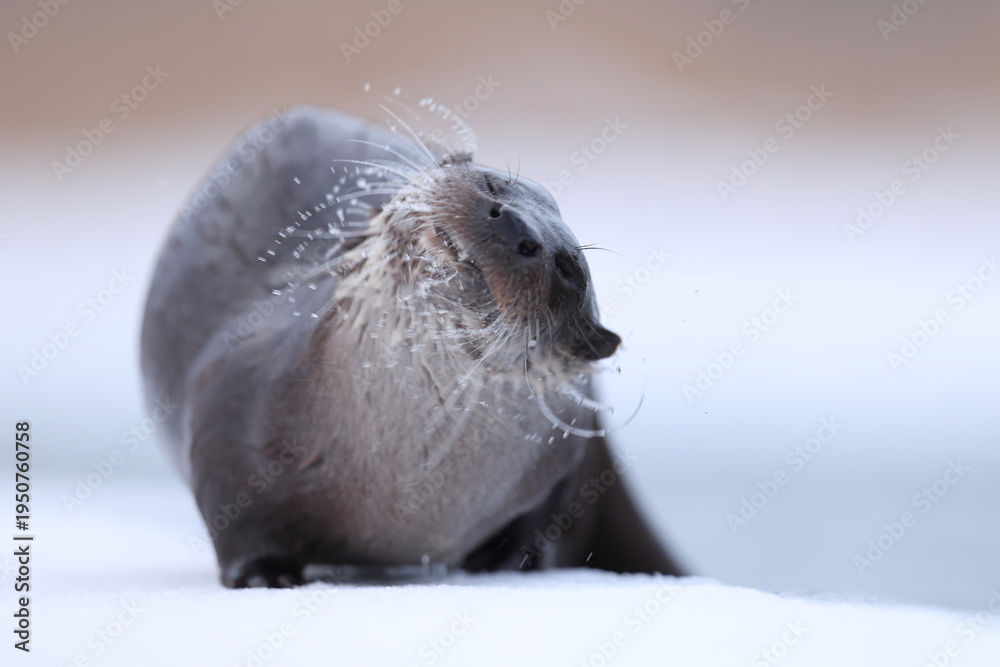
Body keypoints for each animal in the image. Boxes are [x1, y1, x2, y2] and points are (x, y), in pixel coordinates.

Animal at [140, 106, 682, 588]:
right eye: (494, 186)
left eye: (567, 267)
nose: (515, 224)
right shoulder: (230, 404)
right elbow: (234, 521)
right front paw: (263, 575)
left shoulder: (560, 451)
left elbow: (540, 519)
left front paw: (503, 562)